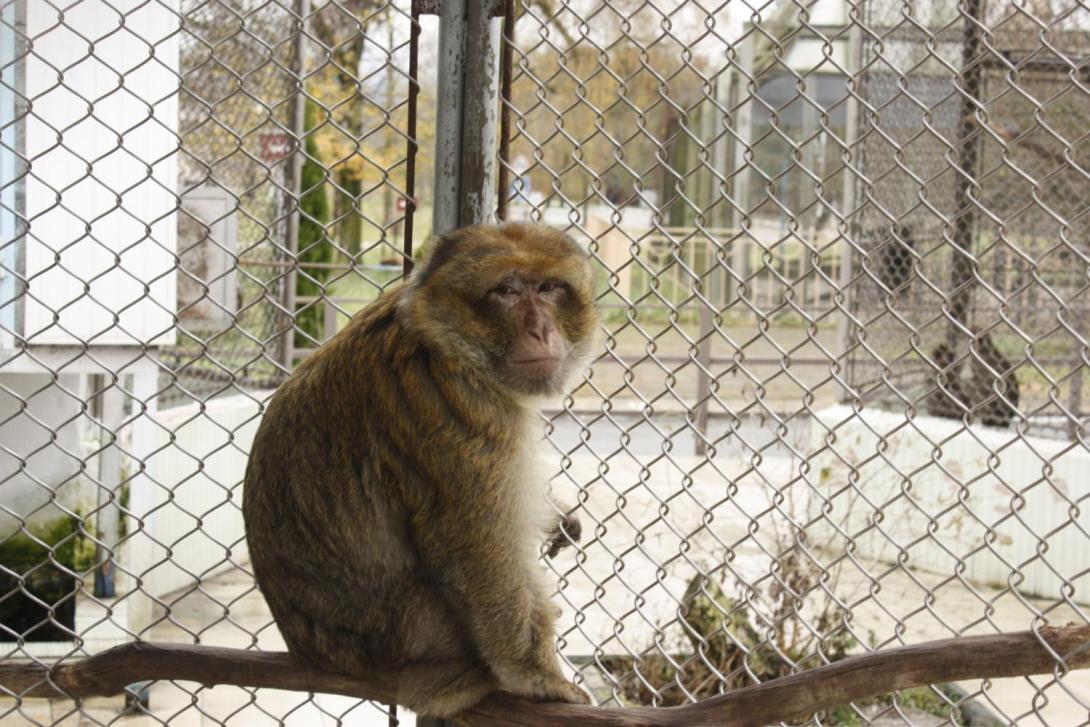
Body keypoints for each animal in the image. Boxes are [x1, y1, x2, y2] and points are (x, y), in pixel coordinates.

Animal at [241, 224, 597, 719]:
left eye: (548, 288)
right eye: (505, 292)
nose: (540, 329)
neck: (441, 337)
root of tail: (314, 654)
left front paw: (559, 515)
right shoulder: (462, 403)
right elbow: (479, 551)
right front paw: (539, 678)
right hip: (401, 634)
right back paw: (454, 684)